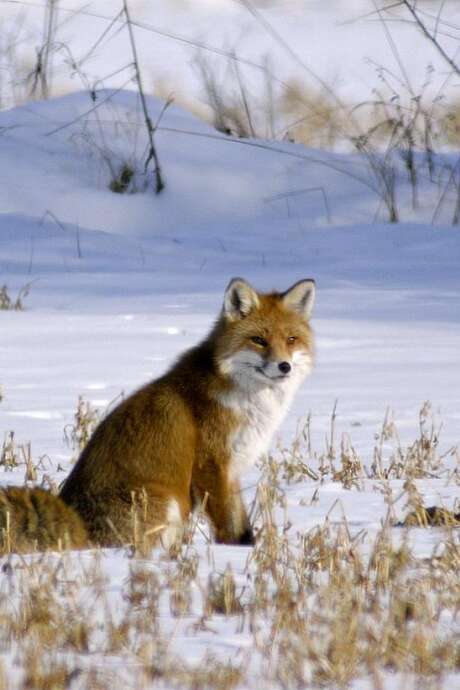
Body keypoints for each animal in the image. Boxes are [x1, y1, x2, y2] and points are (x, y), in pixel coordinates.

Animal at [0, 276, 314, 552]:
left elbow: (242, 527)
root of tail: (77, 525)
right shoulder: (211, 466)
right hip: (166, 501)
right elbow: (228, 528)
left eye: (291, 339)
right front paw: (234, 556)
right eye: (258, 340)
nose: (284, 366)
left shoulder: (233, 469)